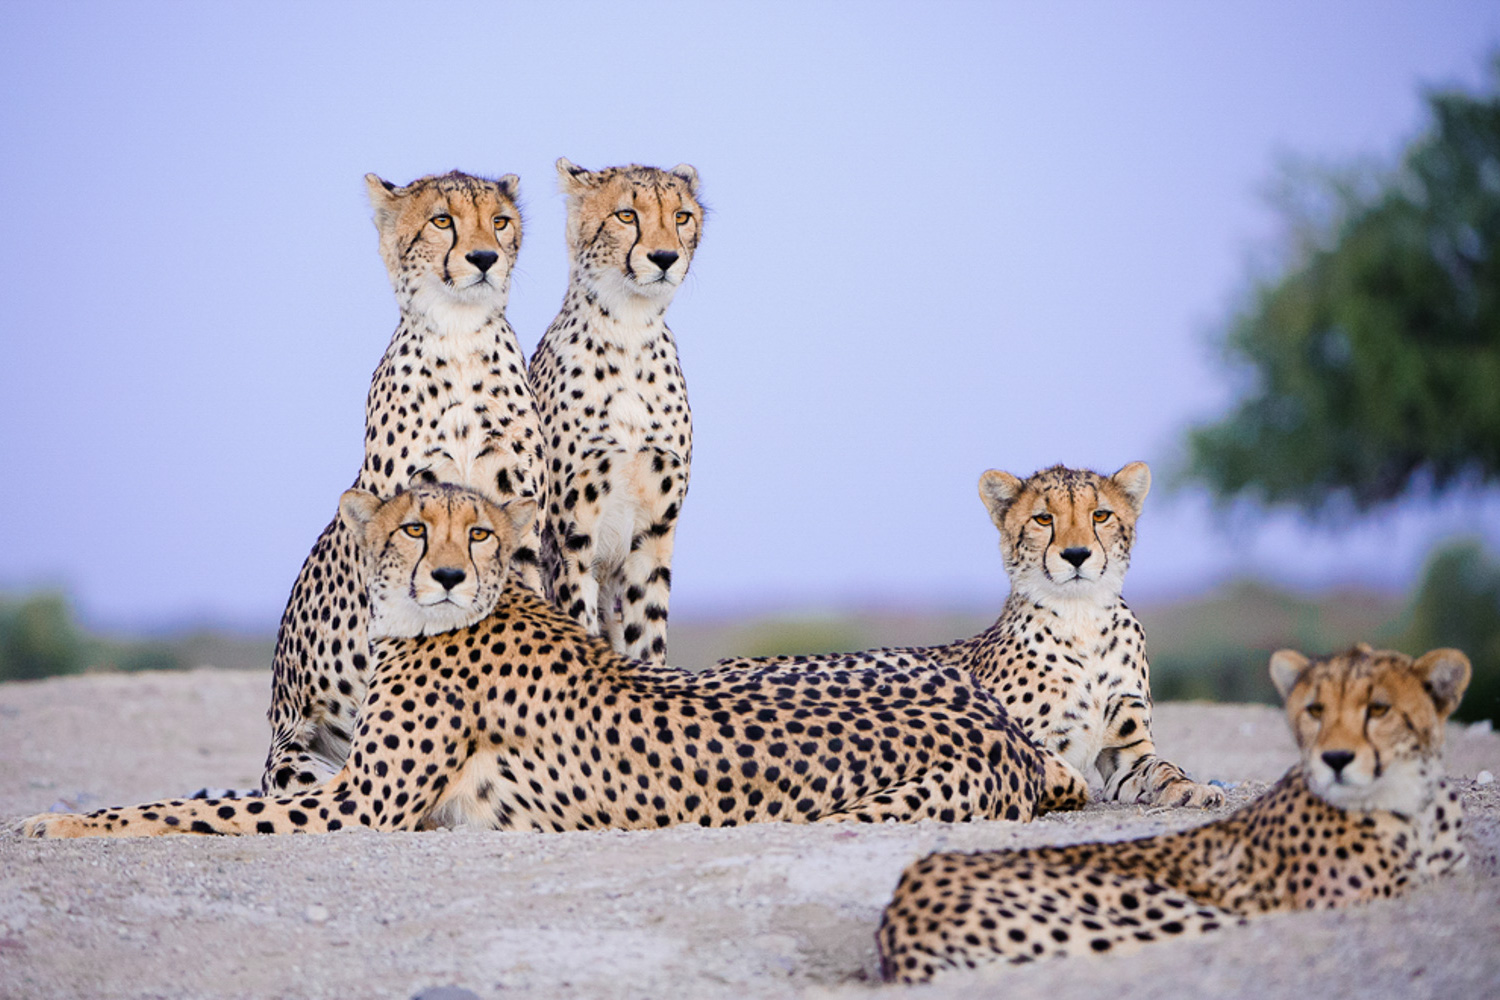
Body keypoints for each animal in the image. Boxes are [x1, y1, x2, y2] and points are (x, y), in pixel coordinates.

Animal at [22, 483, 1089, 839]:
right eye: (414, 528)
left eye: (482, 533)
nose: (450, 574)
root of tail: (997, 729)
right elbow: (199, 799)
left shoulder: (358, 806)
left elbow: (181, 811)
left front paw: (60, 825)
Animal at [259, 170, 546, 795]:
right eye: (442, 221)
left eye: (500, 221)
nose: (484, 257)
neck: (461, 340)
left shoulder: (519, 530)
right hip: (295, 759)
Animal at [527, 158, 702, 665]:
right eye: (627, 215)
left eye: (681, 216)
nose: (664, 258)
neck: (629, 331)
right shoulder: (570, 541)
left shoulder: (655, 535)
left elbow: (649, 634)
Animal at [720, 463, 1222, 810]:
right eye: (1043, 519)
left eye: (1101, 515)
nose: (1077, 554)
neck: (1081, 620)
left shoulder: (1124, 754)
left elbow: (1161, 768)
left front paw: (1192, 788)